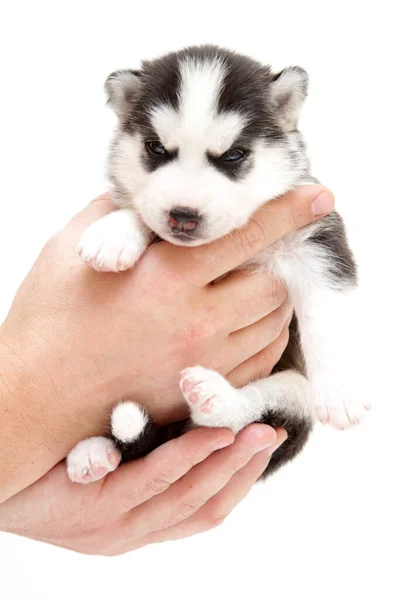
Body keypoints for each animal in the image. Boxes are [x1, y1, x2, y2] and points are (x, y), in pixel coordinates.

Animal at [65, 44, 368, 486]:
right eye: (156, 148)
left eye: (234, 155)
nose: (183, 216)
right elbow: (140, 210)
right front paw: (115, 233)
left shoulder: (315, 242)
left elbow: (328, 317)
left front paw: (341, 390)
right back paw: (94, 452)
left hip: (291, 395)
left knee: (232, 418)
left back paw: (213, 396)